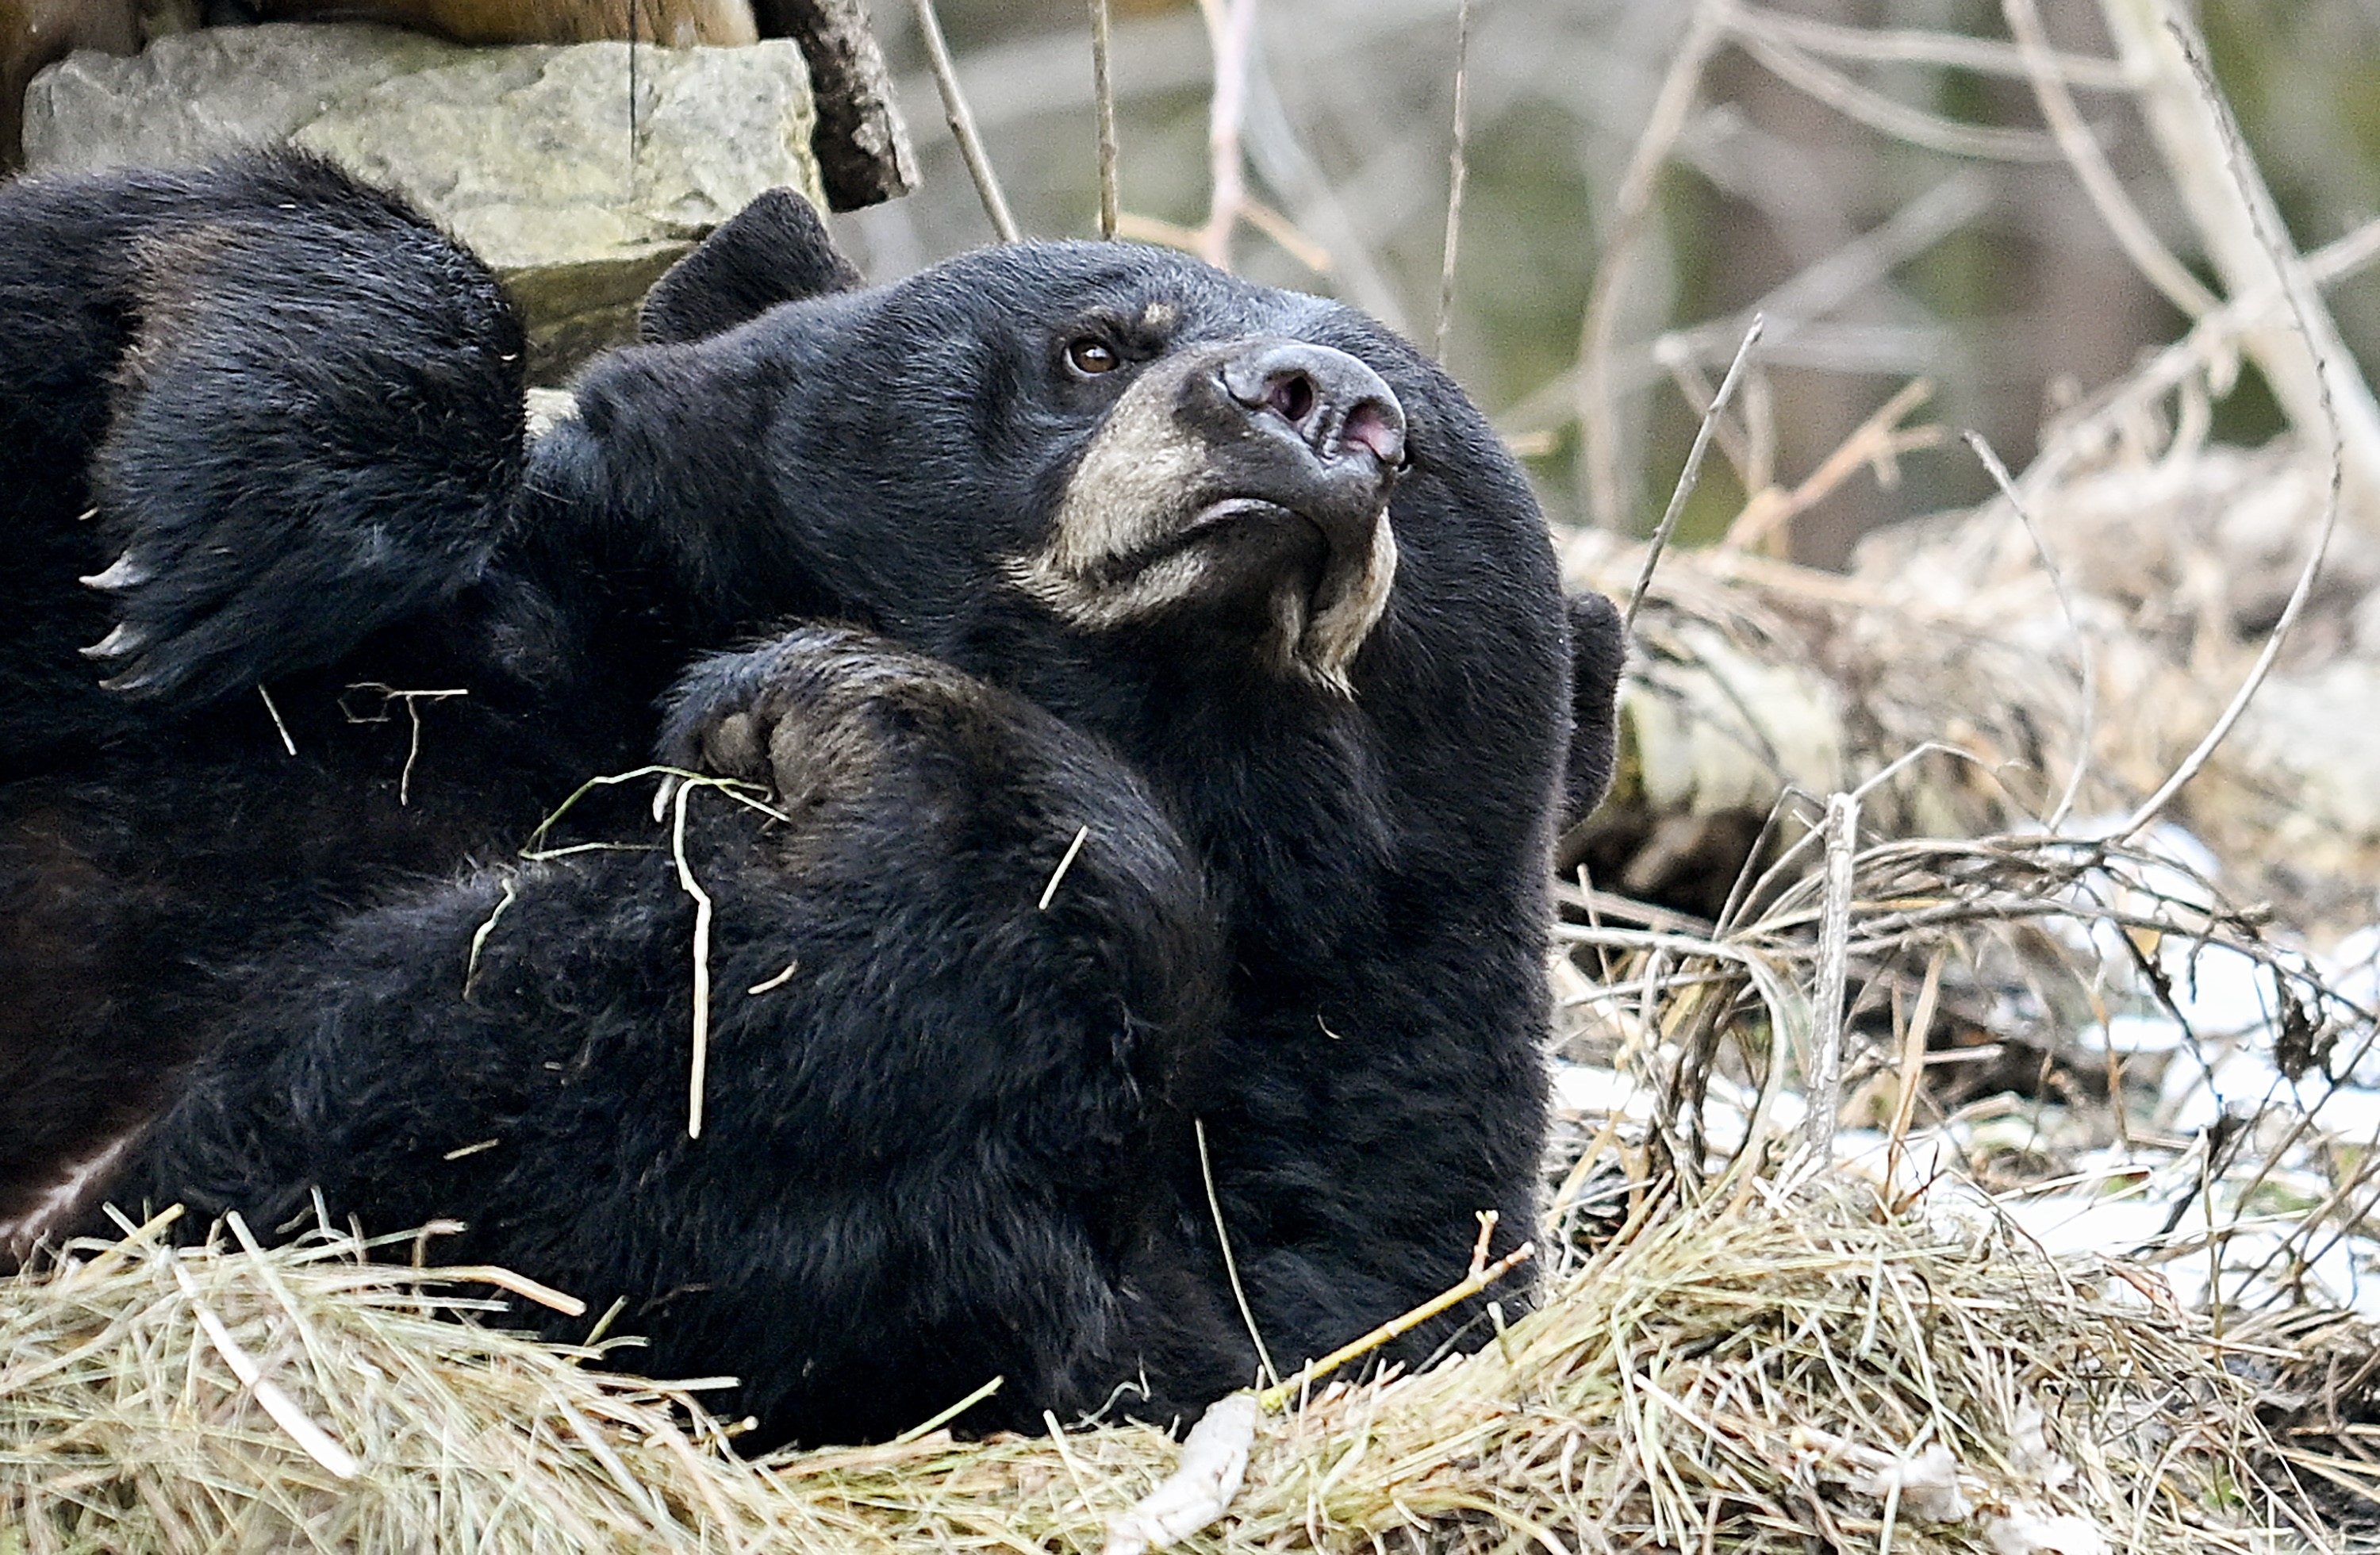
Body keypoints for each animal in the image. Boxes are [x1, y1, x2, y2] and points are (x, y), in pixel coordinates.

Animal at [0, 152, 1618, 1438]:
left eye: (1423, 455)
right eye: (1094, 347)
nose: (1317, 402)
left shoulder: (1353, 1191)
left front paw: (832, 715)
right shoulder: (504, 627)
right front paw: (238, 474)